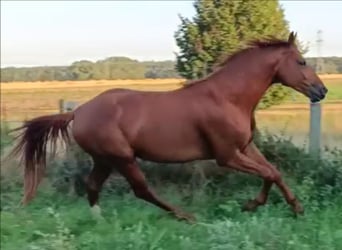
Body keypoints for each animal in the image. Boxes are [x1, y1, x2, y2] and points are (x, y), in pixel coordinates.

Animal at [9, 32, 328, 222]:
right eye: (301, 61)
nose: (322, 91)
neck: (227, 97)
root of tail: (78, 112)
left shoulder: (246, 147)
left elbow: (274, 172)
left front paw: (296, 208)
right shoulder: (227, 155)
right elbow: (268, 173)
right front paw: (252, 205)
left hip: (105, 159)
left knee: (93, 185)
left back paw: (99, 219)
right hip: (122, 158)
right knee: (142, 190)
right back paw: (186, 217)